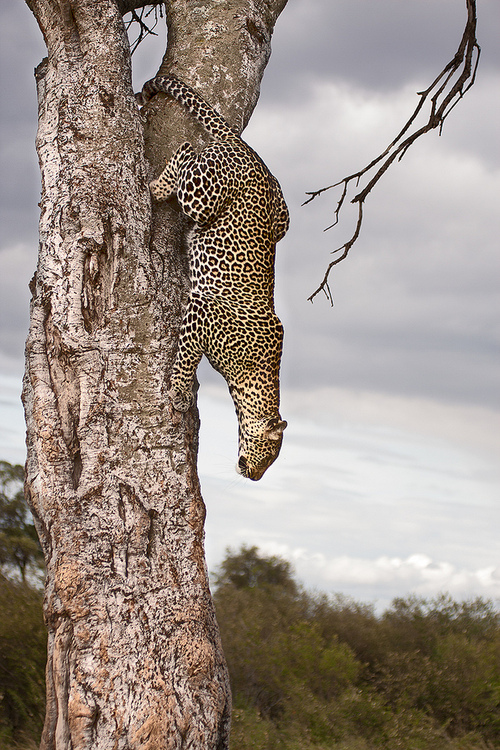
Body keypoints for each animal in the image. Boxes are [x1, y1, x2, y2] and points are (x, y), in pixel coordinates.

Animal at [140, 78, 290, 482]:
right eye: (269, 455)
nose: (254, 477)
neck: (252, 380)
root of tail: (250, 151)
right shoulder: (202, 312)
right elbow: (186, 359)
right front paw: (178, 394)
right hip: (203, 193)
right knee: (185, 157)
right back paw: (160, 183)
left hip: (283, 222)